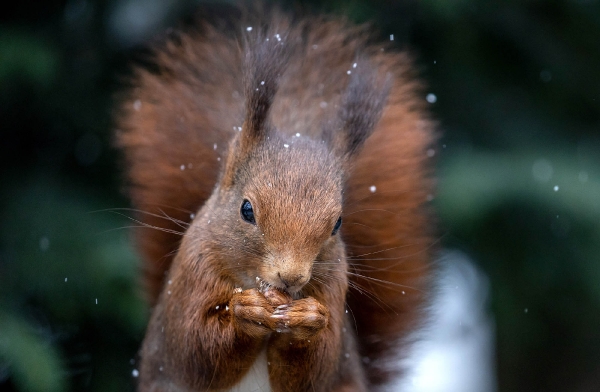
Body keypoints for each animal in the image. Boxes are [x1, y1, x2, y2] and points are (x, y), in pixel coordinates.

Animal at [116, 6, 436, 392]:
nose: (291, 278)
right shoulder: (192, 276)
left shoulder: (334, 287)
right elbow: (195, 348)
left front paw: (308, 319)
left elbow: (316, 369)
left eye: (337, 224)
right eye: (246, 210)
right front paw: (246, 314)